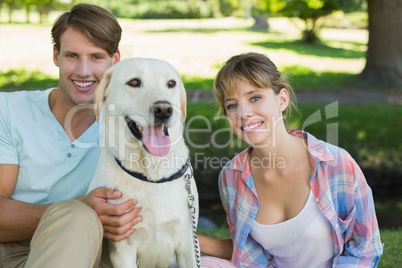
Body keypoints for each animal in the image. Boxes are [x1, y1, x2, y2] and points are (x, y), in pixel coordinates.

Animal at [89, 58, 199, 268]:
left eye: (171, 83)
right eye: (134, 82)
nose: (163, 109)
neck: (151, 174)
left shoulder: (188, 245)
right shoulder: (123, 250)